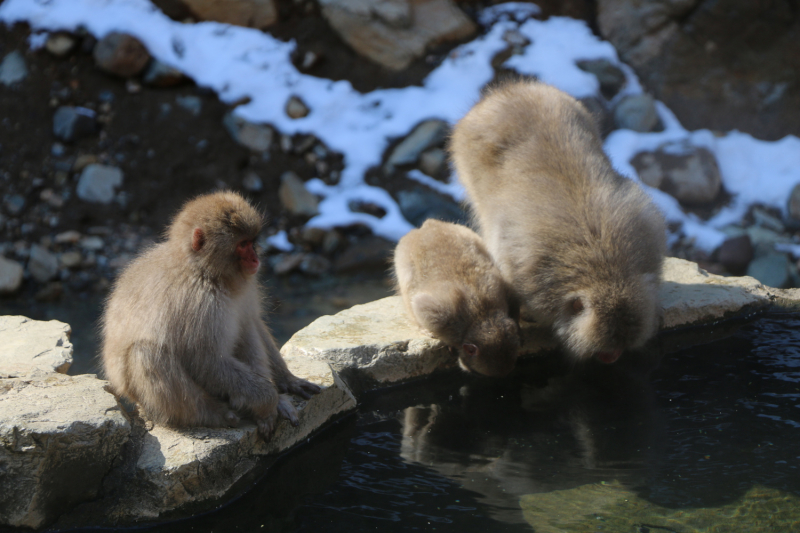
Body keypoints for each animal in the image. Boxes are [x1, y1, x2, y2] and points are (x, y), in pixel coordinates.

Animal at [101, 191, 320, 436]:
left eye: (252, 242)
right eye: (242, 245)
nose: (256, 259)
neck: (208, 274)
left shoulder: (243, 287)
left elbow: (252, 320)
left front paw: (286, 382)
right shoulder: (198, 302)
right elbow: (205, 360)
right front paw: (268, 402)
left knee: (245, 327)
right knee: (144, 353)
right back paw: (213, 414)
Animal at [392, 218, 520, 376]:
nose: (466, 368)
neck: (482, 315)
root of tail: (429, 225)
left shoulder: (506, 290)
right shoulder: (439, 315)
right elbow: (419, 304)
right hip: (403, 261)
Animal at [450, 80, 668, 362]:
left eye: (622, 344)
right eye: (610, 344)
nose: (613, 356)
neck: (604, 265)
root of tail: (508, 90)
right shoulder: (523, 270)